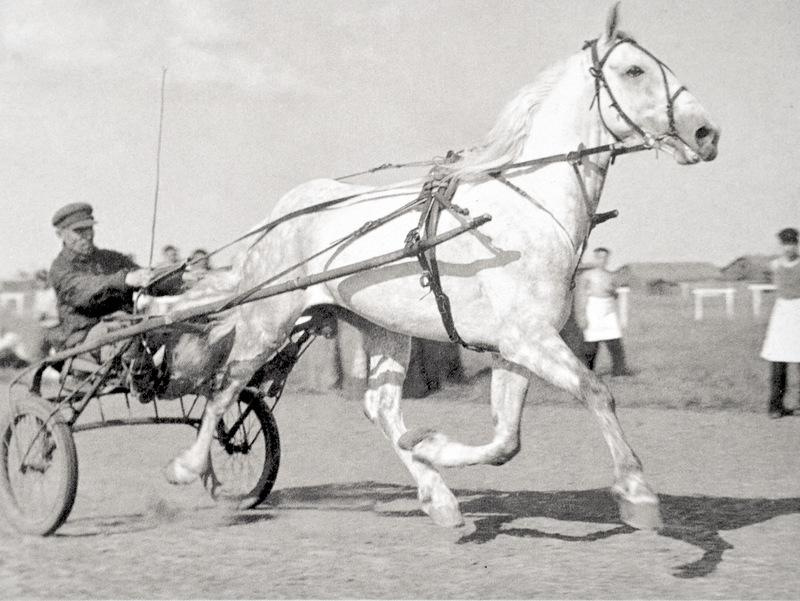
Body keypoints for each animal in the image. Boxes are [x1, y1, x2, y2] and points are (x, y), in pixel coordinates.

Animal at [161, 5, 720, 528]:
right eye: (634, 70)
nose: (707, 132)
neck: (526, 210)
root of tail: (282, 212)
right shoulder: (529, 339)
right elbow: (597, 392)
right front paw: (638, 494)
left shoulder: (517, 347)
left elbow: (506, 441)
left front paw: (430, 446)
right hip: (269, 318)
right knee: (227, 385)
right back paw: (191, 466)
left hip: (381, 327)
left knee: (381, 408)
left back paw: (439, 497)